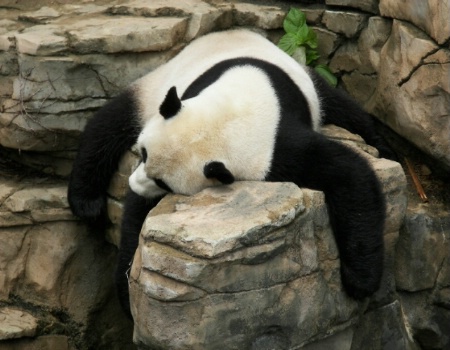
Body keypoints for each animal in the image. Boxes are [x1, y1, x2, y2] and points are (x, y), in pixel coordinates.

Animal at [67, 29, 394, 318]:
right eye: (144, 153)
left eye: (163, 182)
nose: (134, 184)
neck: (228, 118)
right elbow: (137, 218)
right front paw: (127, 289)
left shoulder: (275, 145)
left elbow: (349, 173)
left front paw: (360, 282)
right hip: (156, 87)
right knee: (109, 123)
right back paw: (86, 202)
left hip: (307, 81)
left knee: (345, 110)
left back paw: (381, 143)